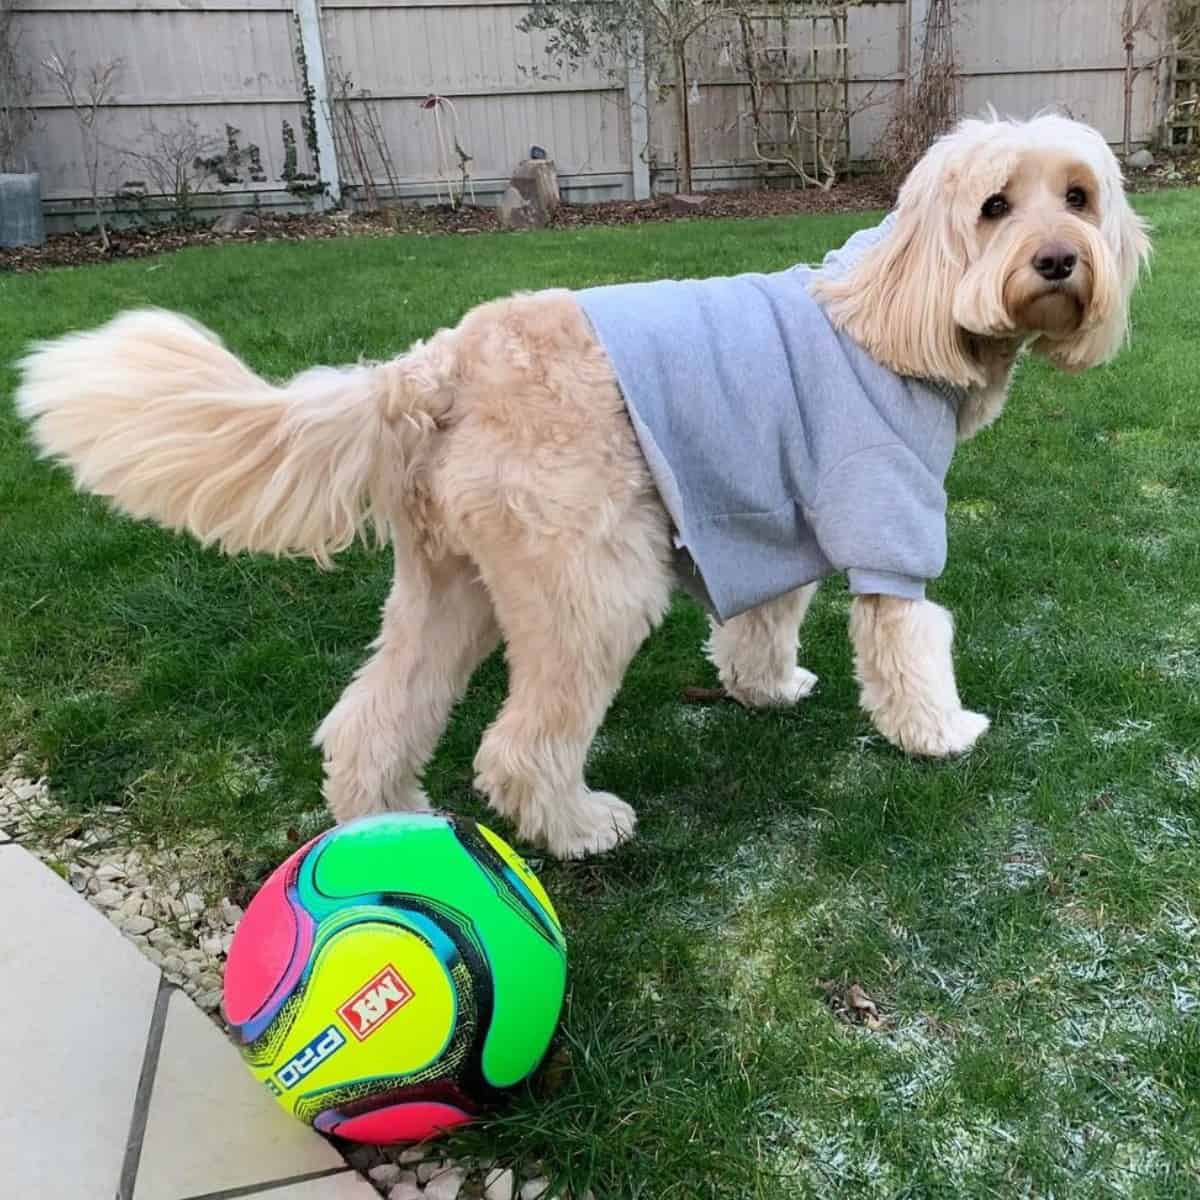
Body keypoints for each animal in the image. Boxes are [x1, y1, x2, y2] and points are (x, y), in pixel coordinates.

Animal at [14, 114, 1147, 864]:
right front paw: (940, 735)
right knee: (517, 748)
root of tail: (436, 365)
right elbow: (911, 644)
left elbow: (764, 619)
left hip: (450, 588)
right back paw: (579, 828)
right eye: (995, 207)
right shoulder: (884, 520)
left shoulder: (763, 514)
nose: (1059, 259)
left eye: (1079, 197)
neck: (892, 310)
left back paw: (386, 829)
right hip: (588, 587)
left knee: (371, 720)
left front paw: (767, 687)